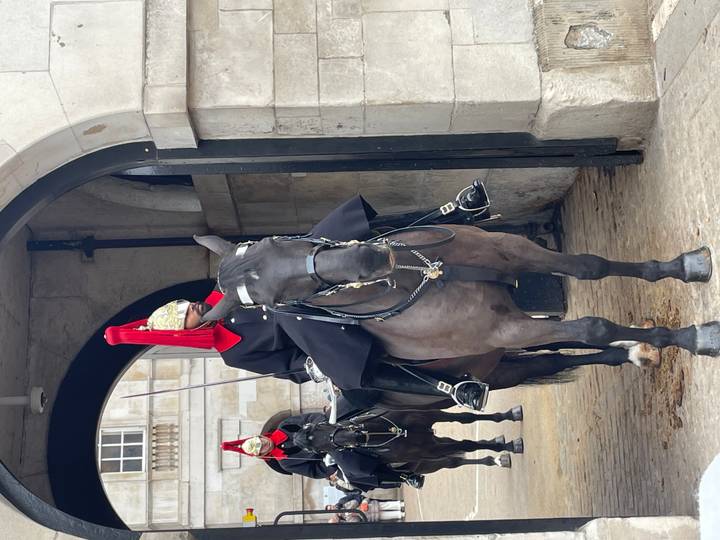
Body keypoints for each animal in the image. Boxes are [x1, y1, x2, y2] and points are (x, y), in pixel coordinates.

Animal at [193, 226, 719, 409]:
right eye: (270, 299)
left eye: (279, 241)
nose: (369, 258)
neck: (422, 278)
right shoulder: (507, 327)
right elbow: (594, 326)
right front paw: (694, 337)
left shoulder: (516, 251)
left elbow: (592, 265)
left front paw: (686, 266)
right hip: (500, 363)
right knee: (556, 357)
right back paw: (636, 351)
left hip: (501, 358)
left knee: (560, 356)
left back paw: (633, 353)